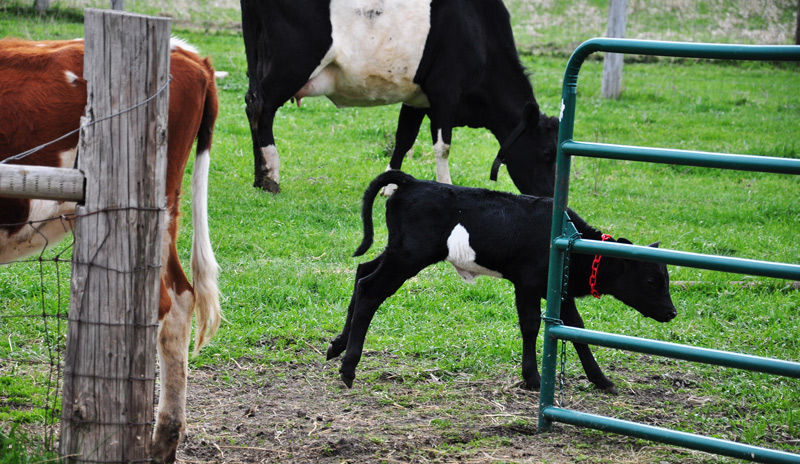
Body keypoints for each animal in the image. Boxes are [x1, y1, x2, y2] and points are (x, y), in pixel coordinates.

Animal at [240, 0, 560, 196]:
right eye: (547, 153)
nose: (550, 196)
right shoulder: (446, 90)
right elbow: (443, 146)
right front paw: (446, 185)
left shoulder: (417, 97)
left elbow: (404, 138)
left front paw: (390, 185)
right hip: (293, 62)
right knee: (262, 108)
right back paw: (271, 178)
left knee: (252, 104)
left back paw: (259, 176)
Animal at [327, 171, 678, 393]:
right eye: (651, 280)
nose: (672, 312)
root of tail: (412, 182)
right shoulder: (527, 284)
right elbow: (531, 325)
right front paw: (532, 378)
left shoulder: (560, 293)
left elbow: (576, 330)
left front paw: (601, 381)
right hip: (409, 257)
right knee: (370, 289)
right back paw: (348, 367)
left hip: (398, 252)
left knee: (362, 273)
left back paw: (337, 345)